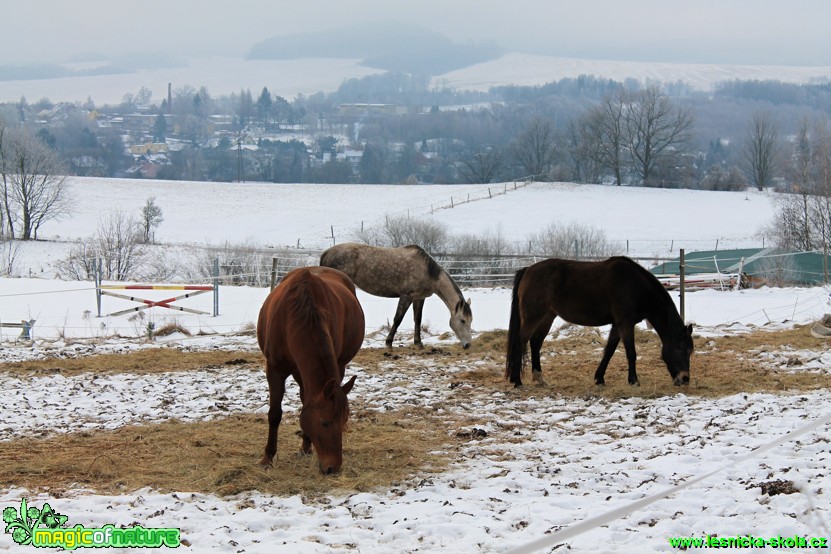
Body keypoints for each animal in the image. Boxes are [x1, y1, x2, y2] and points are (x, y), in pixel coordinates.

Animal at [258, 266, 366, 472]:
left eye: (343, 420)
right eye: (324, 423)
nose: (333, 468)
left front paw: (306, 447)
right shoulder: (274, 370)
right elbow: (274, 414)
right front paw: (267, 458)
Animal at [320, 243, 472, 348]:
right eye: (462, 320)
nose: (468, 345)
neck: (428, 272)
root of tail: (327, 252)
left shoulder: (419, 298)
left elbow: (418, 319)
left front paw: (418, 343)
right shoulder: (406, 296)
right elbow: (398, 319)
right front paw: (388, 342)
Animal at [508, 256, 696, 386]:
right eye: (681, 349)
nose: (685, 379)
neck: (635, 286)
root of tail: (528, 270)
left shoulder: (618, 324)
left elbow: (609, 350)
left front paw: (599, 378)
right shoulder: (625, 323)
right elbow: (631, 353)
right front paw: (634, 381)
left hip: (547, 316)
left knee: (535, 343)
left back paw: (539, 379)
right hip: (534, 316)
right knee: (520, 342)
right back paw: (517, 381)